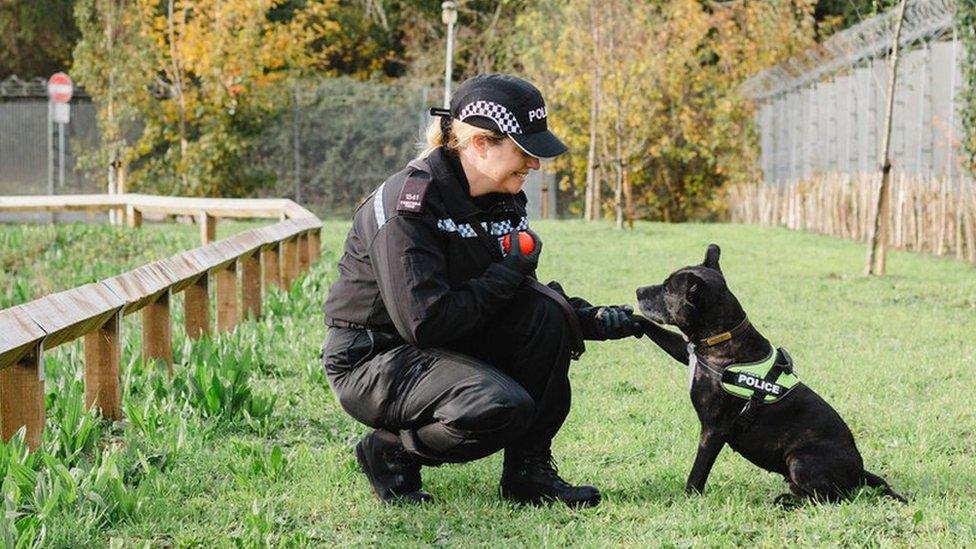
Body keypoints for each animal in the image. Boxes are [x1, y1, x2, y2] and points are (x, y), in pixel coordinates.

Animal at [632, 246, 908, 504]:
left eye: (667, 289)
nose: (637, 290)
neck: (721, 335)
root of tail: (860, 472)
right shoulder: (686, 352)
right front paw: (629, 320)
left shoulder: (713, 430)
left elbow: (698, 472)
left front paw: (688, 497)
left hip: (799, 460)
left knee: (828, 498)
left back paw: (784, 501)